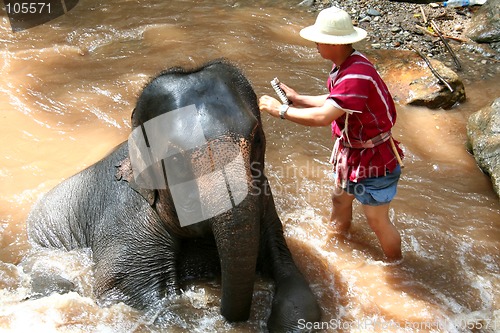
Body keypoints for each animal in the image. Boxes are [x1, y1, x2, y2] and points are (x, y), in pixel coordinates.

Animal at [27, 58, 322, 330]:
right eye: (176, 160)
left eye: (258, 138)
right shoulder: (127, 226)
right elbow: (133, 297)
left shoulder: (265, 200)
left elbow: (294, 283)